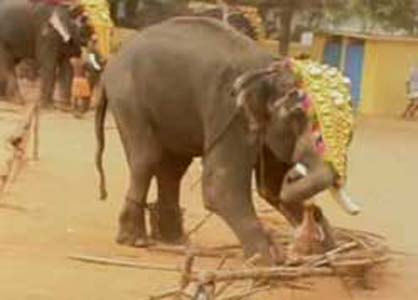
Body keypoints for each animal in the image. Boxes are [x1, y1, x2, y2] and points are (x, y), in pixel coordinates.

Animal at [95, 17, 360, 264]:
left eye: (351, 133)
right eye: (296, 112)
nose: (294, 175)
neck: (269, 67)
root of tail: (113, 60)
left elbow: (270, 187)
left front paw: (328, 250)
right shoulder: (232, 113)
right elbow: (220, 186)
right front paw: (263, 260)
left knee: (173, 168)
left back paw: (175, 240)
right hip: (127, 97)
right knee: (146, 159)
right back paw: (135, 240)